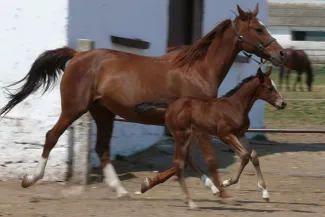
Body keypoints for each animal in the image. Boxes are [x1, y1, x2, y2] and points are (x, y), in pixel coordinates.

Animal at [134, 66, 286, 209]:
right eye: (269, 88)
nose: (283, 104)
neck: (235, 107)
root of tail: (170, 105)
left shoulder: (240, 134)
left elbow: (253, 156)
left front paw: (265, 193)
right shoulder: (225, 135)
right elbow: (244, 155)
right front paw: (226, 182)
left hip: (194, 134)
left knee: (188, 157)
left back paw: (212, 187)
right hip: (182, 134)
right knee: (179, 162)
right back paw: (193, 200)